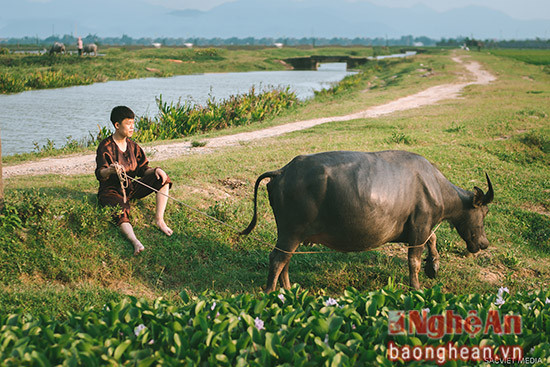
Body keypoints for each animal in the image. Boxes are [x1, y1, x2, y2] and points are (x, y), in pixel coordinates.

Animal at [243, 150, 496, 294]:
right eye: (483, 213)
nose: (484, 244)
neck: (434, 186)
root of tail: (282, 171)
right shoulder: (419, 226)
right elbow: (413, 260)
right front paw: (416, 286)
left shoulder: (419, 228)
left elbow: (432, 239)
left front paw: (433, 267)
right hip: (290, 232)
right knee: (277, 259)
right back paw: (270, 293)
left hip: (292, 236)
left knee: (285, 260)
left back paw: (287, 290)